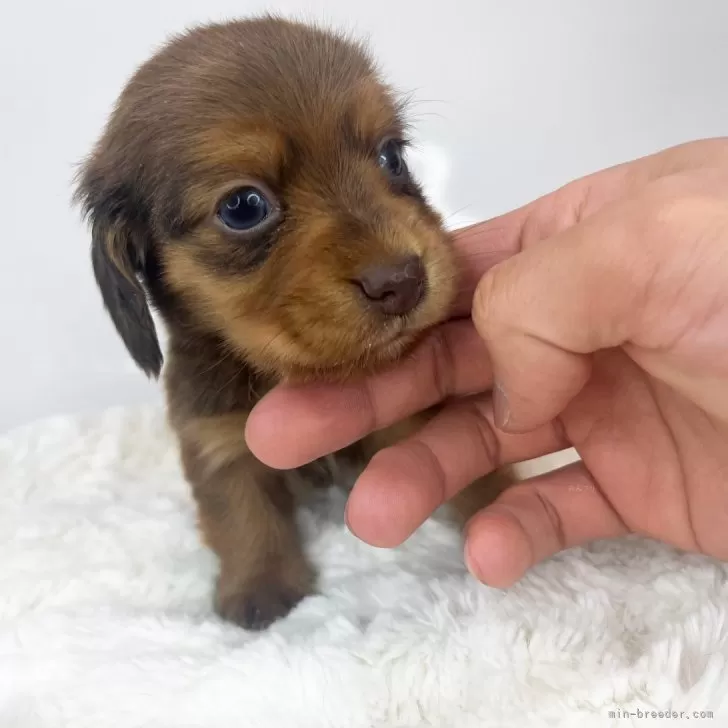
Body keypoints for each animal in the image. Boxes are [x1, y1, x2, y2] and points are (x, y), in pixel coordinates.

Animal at [74, 17, 506, 632]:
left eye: (391, 157)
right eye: (243, 206)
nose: (403, 281)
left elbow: (466, 469)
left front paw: (497, 509)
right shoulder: (216, 438)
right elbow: (243, 515)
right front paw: (262, 588)